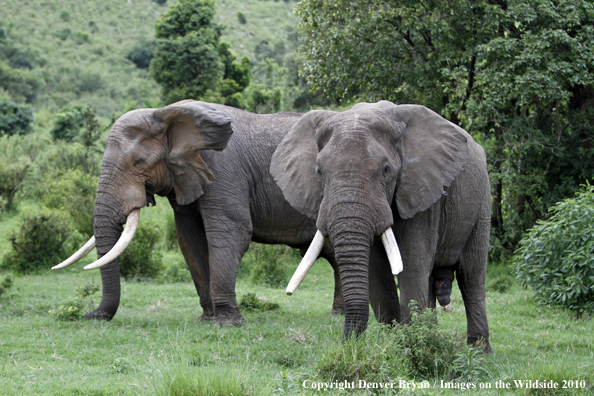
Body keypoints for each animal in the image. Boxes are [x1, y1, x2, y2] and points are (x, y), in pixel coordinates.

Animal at [56, 100, 344, 324]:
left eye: (138, 162)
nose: (86, 315)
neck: (167, 115)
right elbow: (189, 240)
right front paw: (207, 319)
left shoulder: (223, 170)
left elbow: (231, 233)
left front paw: (227, 323)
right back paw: (339, 314)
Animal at [270, 100, 490, 352]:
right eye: (318, 171)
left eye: (386, 170)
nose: (347, 346)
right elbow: (377, 271)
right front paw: (394, 344)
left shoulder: (422, 191)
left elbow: (411, 267)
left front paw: (408, 348)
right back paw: (431, 335)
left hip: (482, 202)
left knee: (471, 276)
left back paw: (479, 351)